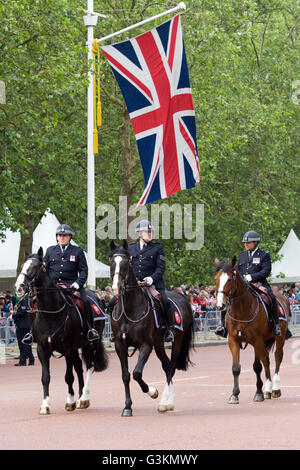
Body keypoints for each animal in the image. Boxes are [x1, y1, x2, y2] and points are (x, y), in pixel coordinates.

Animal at [15, 248, 108, 414]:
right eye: (22, 265)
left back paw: (84, 398)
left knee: (89, 366)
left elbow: (68, 376)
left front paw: (70, 401)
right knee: (79, 367)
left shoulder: (68, 349)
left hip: (92, 343)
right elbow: (45, 377)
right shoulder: (42, 349)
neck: (51, 313)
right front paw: (45, 404)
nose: (19, 287)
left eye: (36, 267)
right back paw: (80, 396)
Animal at [109, 241, 193, 416]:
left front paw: (152, 391)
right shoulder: (120, 345)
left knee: (171, 366)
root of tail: (182, 297)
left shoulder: (145, 345)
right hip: (159, 344)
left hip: (177, 341)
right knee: (167, 365)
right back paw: (168, 402)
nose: (116, 288)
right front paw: (127, 407)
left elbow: (136, 373)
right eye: (111, 262)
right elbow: (126, 375)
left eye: (127, 262)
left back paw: (165, 402)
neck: (128, 310)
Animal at [214, 258, 290, 404]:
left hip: (280, 336)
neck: (241, 310)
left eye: (230, 279)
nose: (221, 305)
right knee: (266, 359)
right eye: (216, 279)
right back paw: (268, 390)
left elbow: (257, 366)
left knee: (277, 357)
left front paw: (258, 393)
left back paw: (275, 389)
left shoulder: (256, 341)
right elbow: (236, 368)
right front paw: (234, 394)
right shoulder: (233, 340)